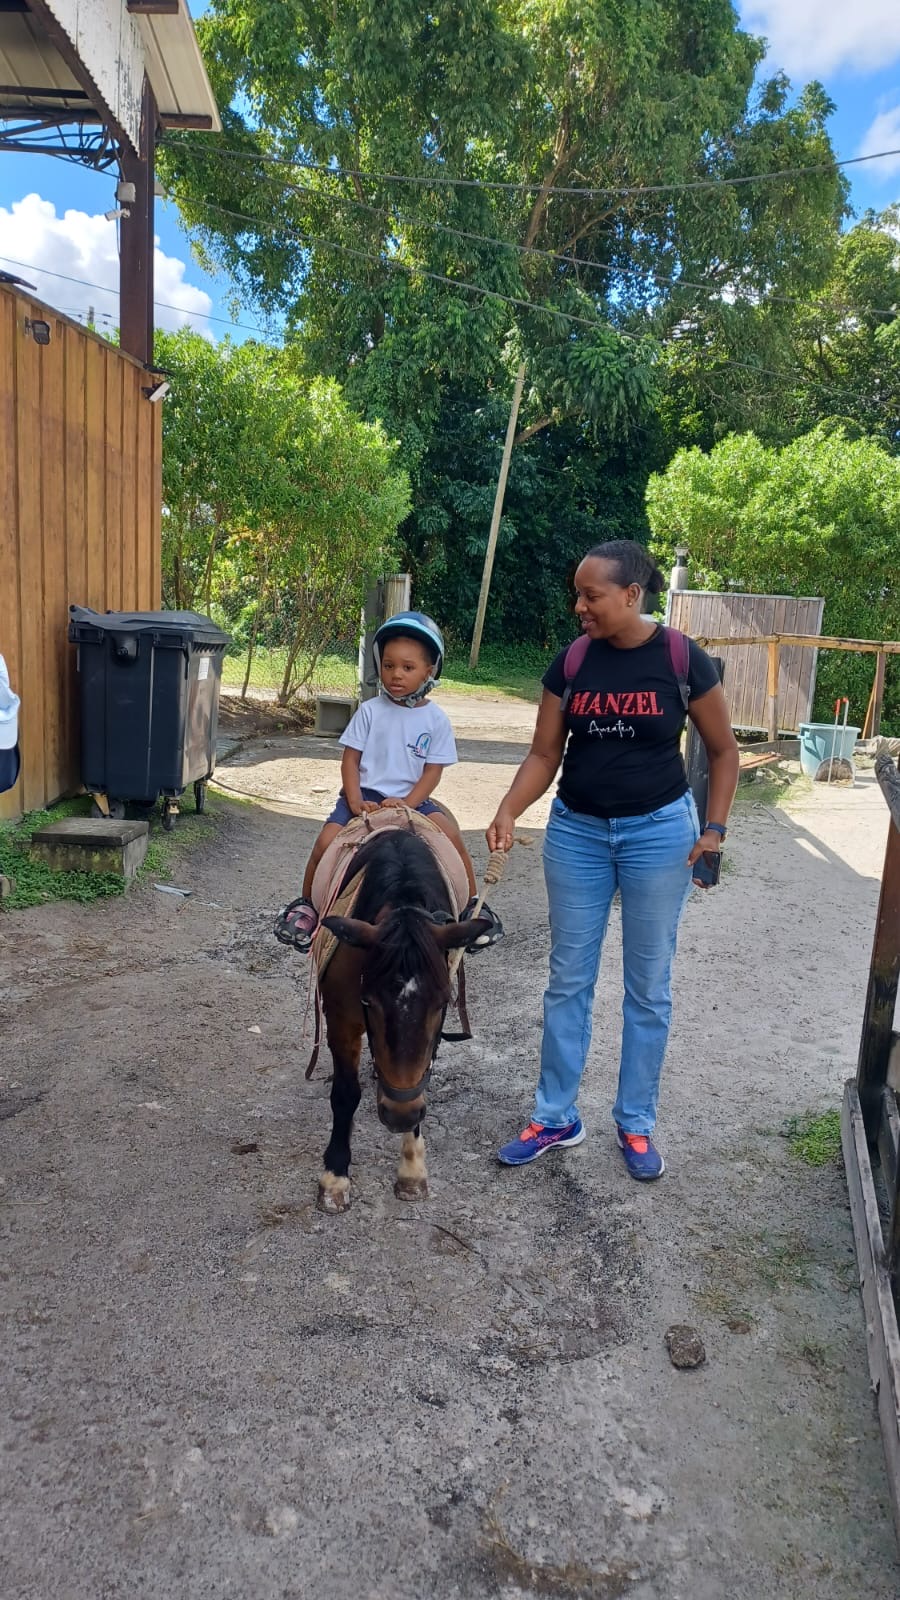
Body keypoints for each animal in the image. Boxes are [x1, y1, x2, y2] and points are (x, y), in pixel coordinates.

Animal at [316, 826, 490, 1214]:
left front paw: (411, 1168)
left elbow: (420, 1078)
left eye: (442, 1003)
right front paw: (335, 1175)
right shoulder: (341, 1021)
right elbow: (345, 1093)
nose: (400, 1117)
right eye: (367, 1000)